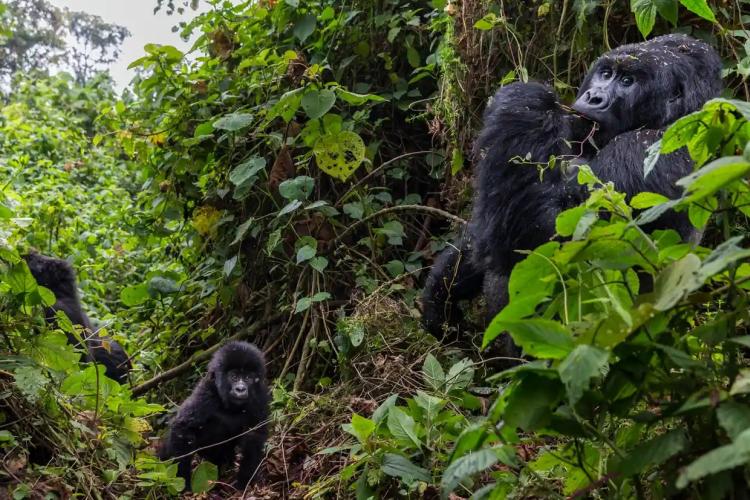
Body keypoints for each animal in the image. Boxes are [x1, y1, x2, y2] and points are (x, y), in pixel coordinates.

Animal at [160, 340, 272, 492]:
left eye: (248, 378)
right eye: (234, 377)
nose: (240, 389)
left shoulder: (260, 397)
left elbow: (255, 434)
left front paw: (245, 480)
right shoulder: (206, 392)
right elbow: (183, 428)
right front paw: (183, 482)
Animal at [424, 35, 724, 348]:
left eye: (627, 81)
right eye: (606, 74)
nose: (593, 97)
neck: (678, 118)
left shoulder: (645, 153)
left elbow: (549, 241)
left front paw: (523, 103)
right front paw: (440, 297)